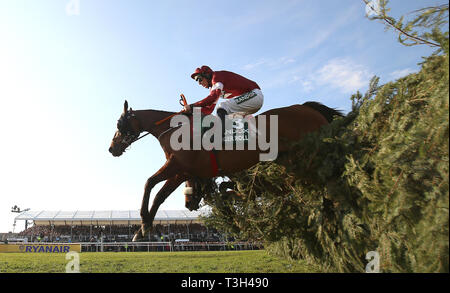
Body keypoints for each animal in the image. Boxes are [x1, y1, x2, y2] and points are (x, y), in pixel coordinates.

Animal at [108, 98, 342, 240]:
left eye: (119, 124)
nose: (112, 148)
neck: (174, 129)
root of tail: (307, 107)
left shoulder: (176, 166)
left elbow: (149, 183)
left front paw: (143, 224)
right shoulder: (181, 171)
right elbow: (160, 196)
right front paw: (144, 228)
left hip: (309, 156)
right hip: (294, 162)